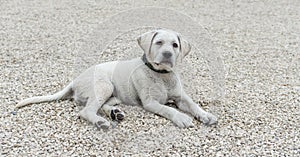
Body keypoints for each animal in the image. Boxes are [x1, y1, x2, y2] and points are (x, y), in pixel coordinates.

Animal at [16, 28, 217, 129]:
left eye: (175, 45)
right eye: (159, 42)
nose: (168, 54)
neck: (161, 75)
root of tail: (75, 80)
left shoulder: (181, 97)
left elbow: (193, 105)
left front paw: (206, 115)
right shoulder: (151, 102)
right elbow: (168, 109)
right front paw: (181, 117)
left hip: (114, 93)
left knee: (101, 105)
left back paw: (115, 113)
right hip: (103, 86)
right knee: (86, 111)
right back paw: (100, 121)